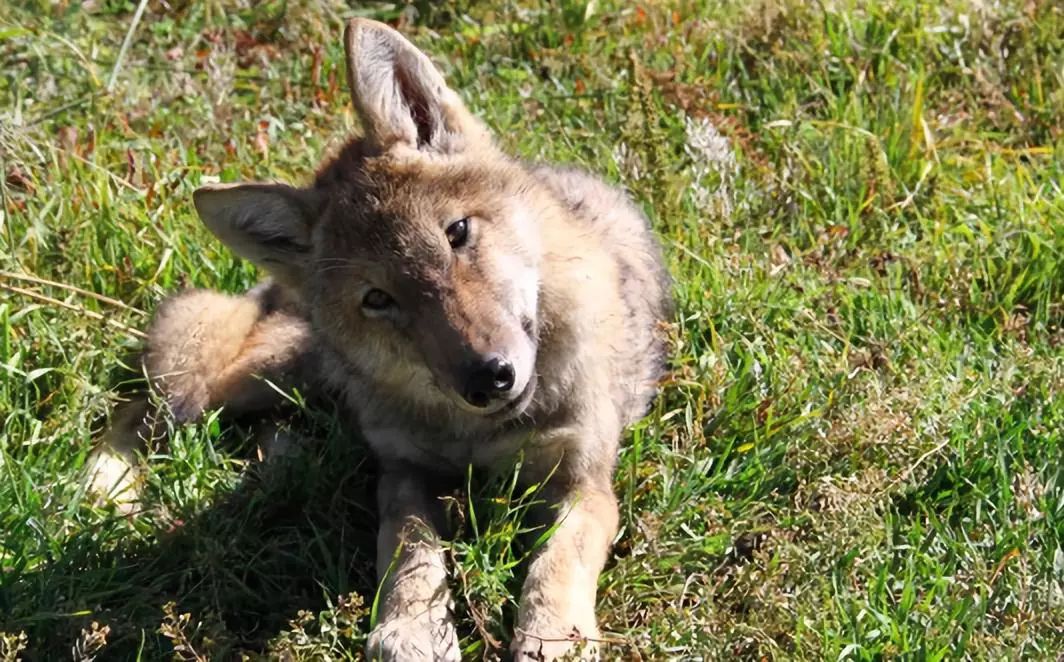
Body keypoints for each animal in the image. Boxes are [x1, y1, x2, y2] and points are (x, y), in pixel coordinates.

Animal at [93, 18, 672, 659]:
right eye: (378, 299)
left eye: (457, 233)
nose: (489, 378)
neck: (482, 434)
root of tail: (274, 288)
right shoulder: (403, 475)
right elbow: (409, 550)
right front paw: (413, 628)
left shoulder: (584, 484)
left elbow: (557, 563)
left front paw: (552, 637)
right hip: (256, 378)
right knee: (141, 406)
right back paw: (105, 490)